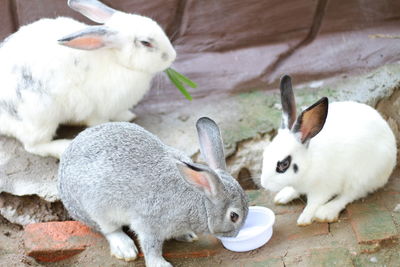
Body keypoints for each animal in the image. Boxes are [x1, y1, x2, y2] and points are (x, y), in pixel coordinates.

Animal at [0, 0, 176, 159]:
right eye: (146, 43)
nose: (173, 56)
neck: (115, 58)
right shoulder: (96, 108)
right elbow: (99, 121)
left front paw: (128, 116)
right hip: (41, 115)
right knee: (34, 146)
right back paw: (63, 147)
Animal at [57, 118, 248, 266]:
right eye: (234, 216)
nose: (236, 235)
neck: (200, 201)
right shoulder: (150, 224)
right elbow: (151, 247)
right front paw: (160, 264)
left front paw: (187, 235)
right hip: (97, 208)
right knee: (109, 229)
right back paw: (125, 248)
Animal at [260, 75, 396, 226]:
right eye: (265, 154)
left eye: (284, 164)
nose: (264, 184)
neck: (309, 163)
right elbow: (295, 191)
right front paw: (284, 195)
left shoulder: (323, 189)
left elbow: (313, 203)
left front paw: (304, 219)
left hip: (362, 175)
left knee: (350, 194)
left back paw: (326, 212)